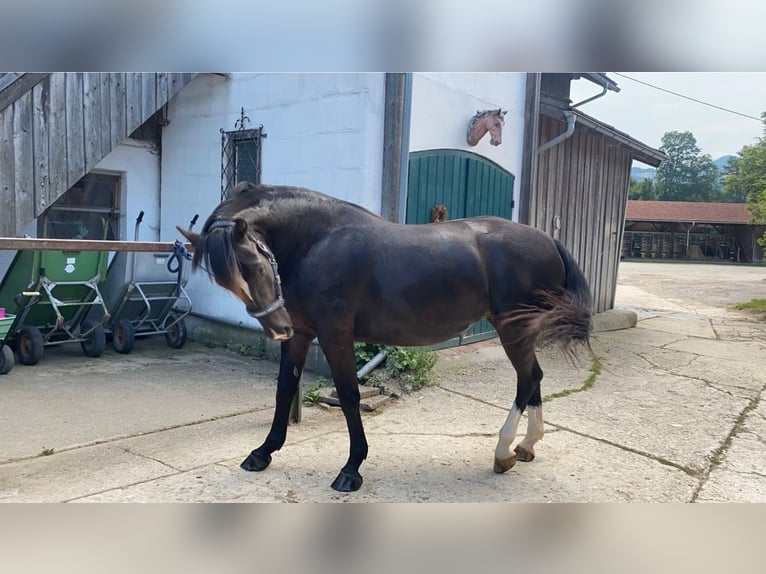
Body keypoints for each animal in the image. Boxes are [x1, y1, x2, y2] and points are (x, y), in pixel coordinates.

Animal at [178, 182, 592, 492]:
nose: (279, 326)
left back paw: (503, 450)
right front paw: (263, 452)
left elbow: (348, 395)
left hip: (513, 328)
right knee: (534, 377)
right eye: (227, 280)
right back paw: (525, 446)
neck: (317, 242)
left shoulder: (335, 334)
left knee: (526, 379)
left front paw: (351, 468)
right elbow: (283, 390)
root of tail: (548, 240)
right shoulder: (303, 335)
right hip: (521, 330)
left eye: (255, 264)